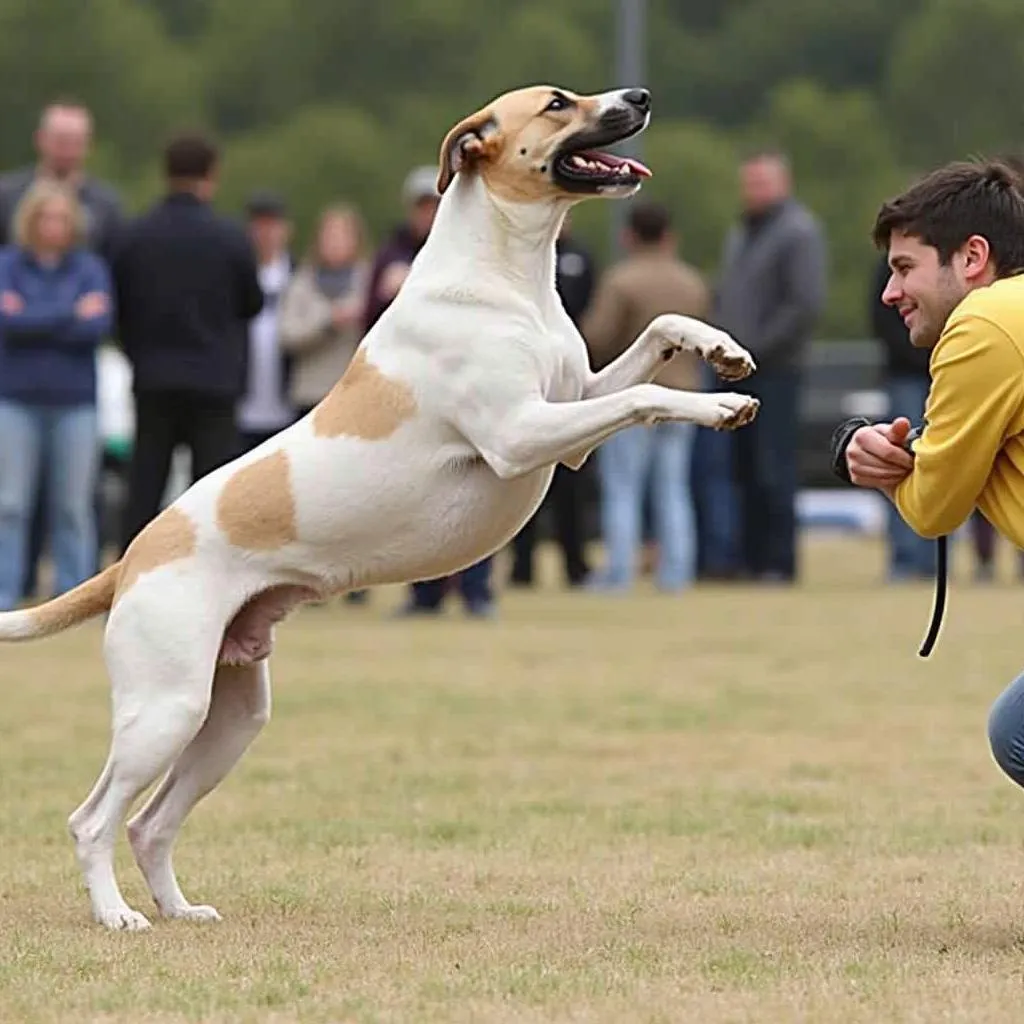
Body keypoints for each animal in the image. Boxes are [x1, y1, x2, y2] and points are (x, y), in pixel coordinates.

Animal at [0, 83, 761, 933]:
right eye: (558, 104)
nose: (640, 94)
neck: (506, 277)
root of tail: (131, 556)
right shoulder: (521, 434)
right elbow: (642, 397)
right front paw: (720, 403)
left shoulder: (570, 421)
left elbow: (655, 334)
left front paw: (722, 350)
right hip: (164, 707)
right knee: (93, 819)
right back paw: (117, 916)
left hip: (229, 718)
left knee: (149, 823)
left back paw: (180, 909)